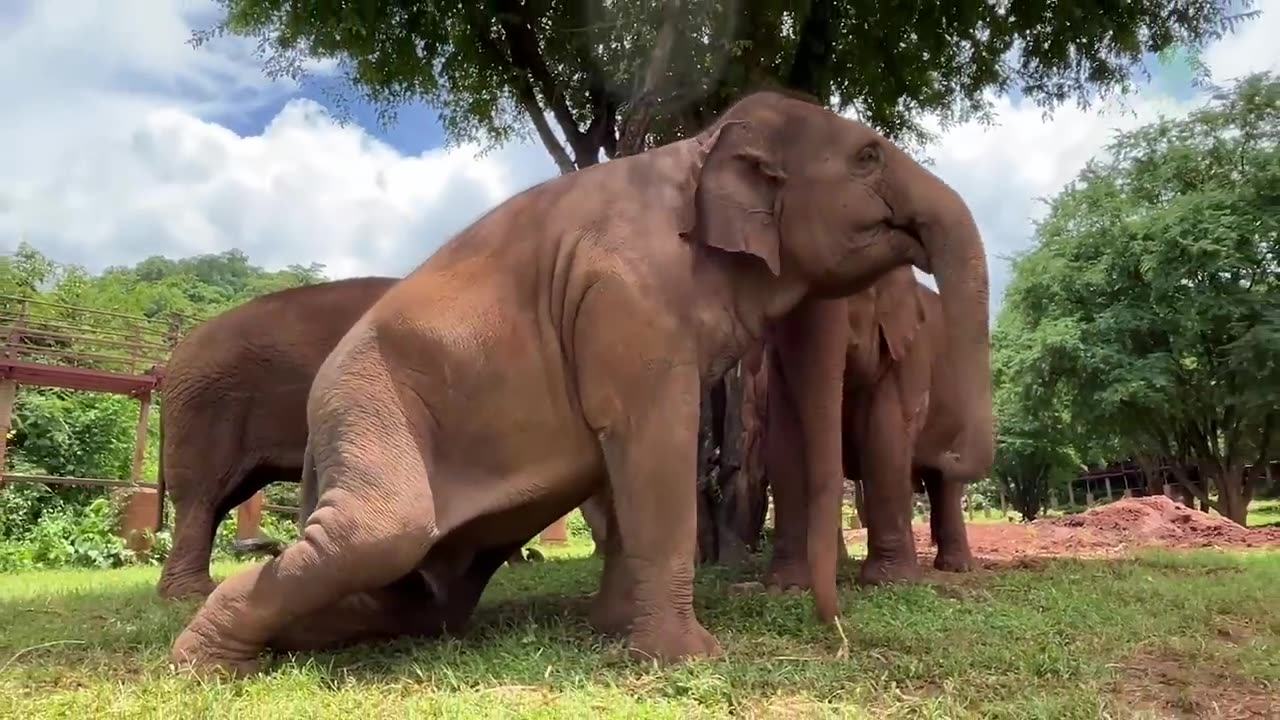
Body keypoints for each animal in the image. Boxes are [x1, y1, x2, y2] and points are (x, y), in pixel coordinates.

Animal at [764, 264, 990, 594]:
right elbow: (783, 442)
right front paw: (787, 586)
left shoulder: (908, 353)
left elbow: (886, 436)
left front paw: (890, 582)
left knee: (945, 484)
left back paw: (955, 567)